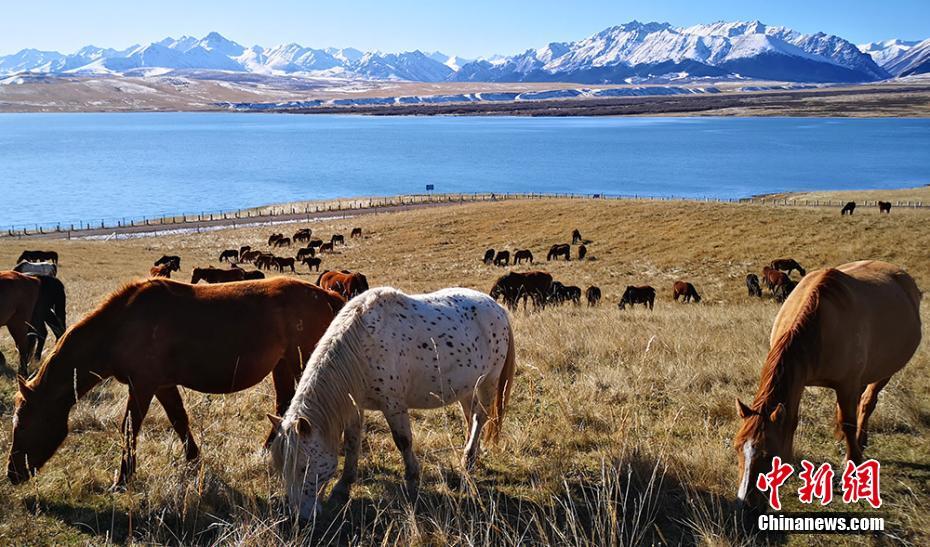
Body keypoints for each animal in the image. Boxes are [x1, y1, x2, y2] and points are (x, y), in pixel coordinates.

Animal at [6, 278, 344, 488]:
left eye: (23, 424)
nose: (12, 474)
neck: (120, 327)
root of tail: (326, 296)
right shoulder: (161, 385)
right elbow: (179, 420)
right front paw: (193, 460)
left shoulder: (142, 385)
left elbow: (129, 427)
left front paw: (122, 478)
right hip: (283, 365)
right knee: (283, 402)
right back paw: (268, 448)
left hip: (300, 363)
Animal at [268, 286, 516, 524]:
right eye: (282, 469)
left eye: (304, 467)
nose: (301, 518)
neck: (362, 345)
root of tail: (497, 308)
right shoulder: (355, 406)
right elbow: (352, 443)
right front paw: (343, 487)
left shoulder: (393, 405)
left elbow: (403, 441)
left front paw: (413, 483)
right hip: (466, 387)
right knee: (470, 416)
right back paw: (469, 452)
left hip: (488, 382)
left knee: (479, 418)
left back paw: (469, 458)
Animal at [732, 262, 920, 510]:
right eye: (737, 447)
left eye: (769, 454)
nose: (745, 502)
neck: (819, 326)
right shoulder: (804, 383)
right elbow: (796, 420)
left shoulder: (847, 384)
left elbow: (849, 422)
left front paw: (852, 462)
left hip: (884, 372)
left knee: (867, 403)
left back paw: (860, 440)